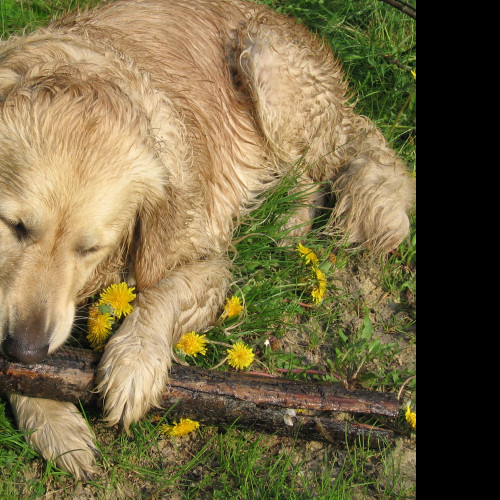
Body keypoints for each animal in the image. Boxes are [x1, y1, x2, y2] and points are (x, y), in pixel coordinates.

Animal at [0, 0, 414, 478]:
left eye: (90, 249)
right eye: (14, 226)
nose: (25, 351)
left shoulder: (206, 260)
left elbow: (164, 291)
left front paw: (135, 362)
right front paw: (54, 421)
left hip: (268, 65)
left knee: (320, 165)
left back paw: (288, 223)